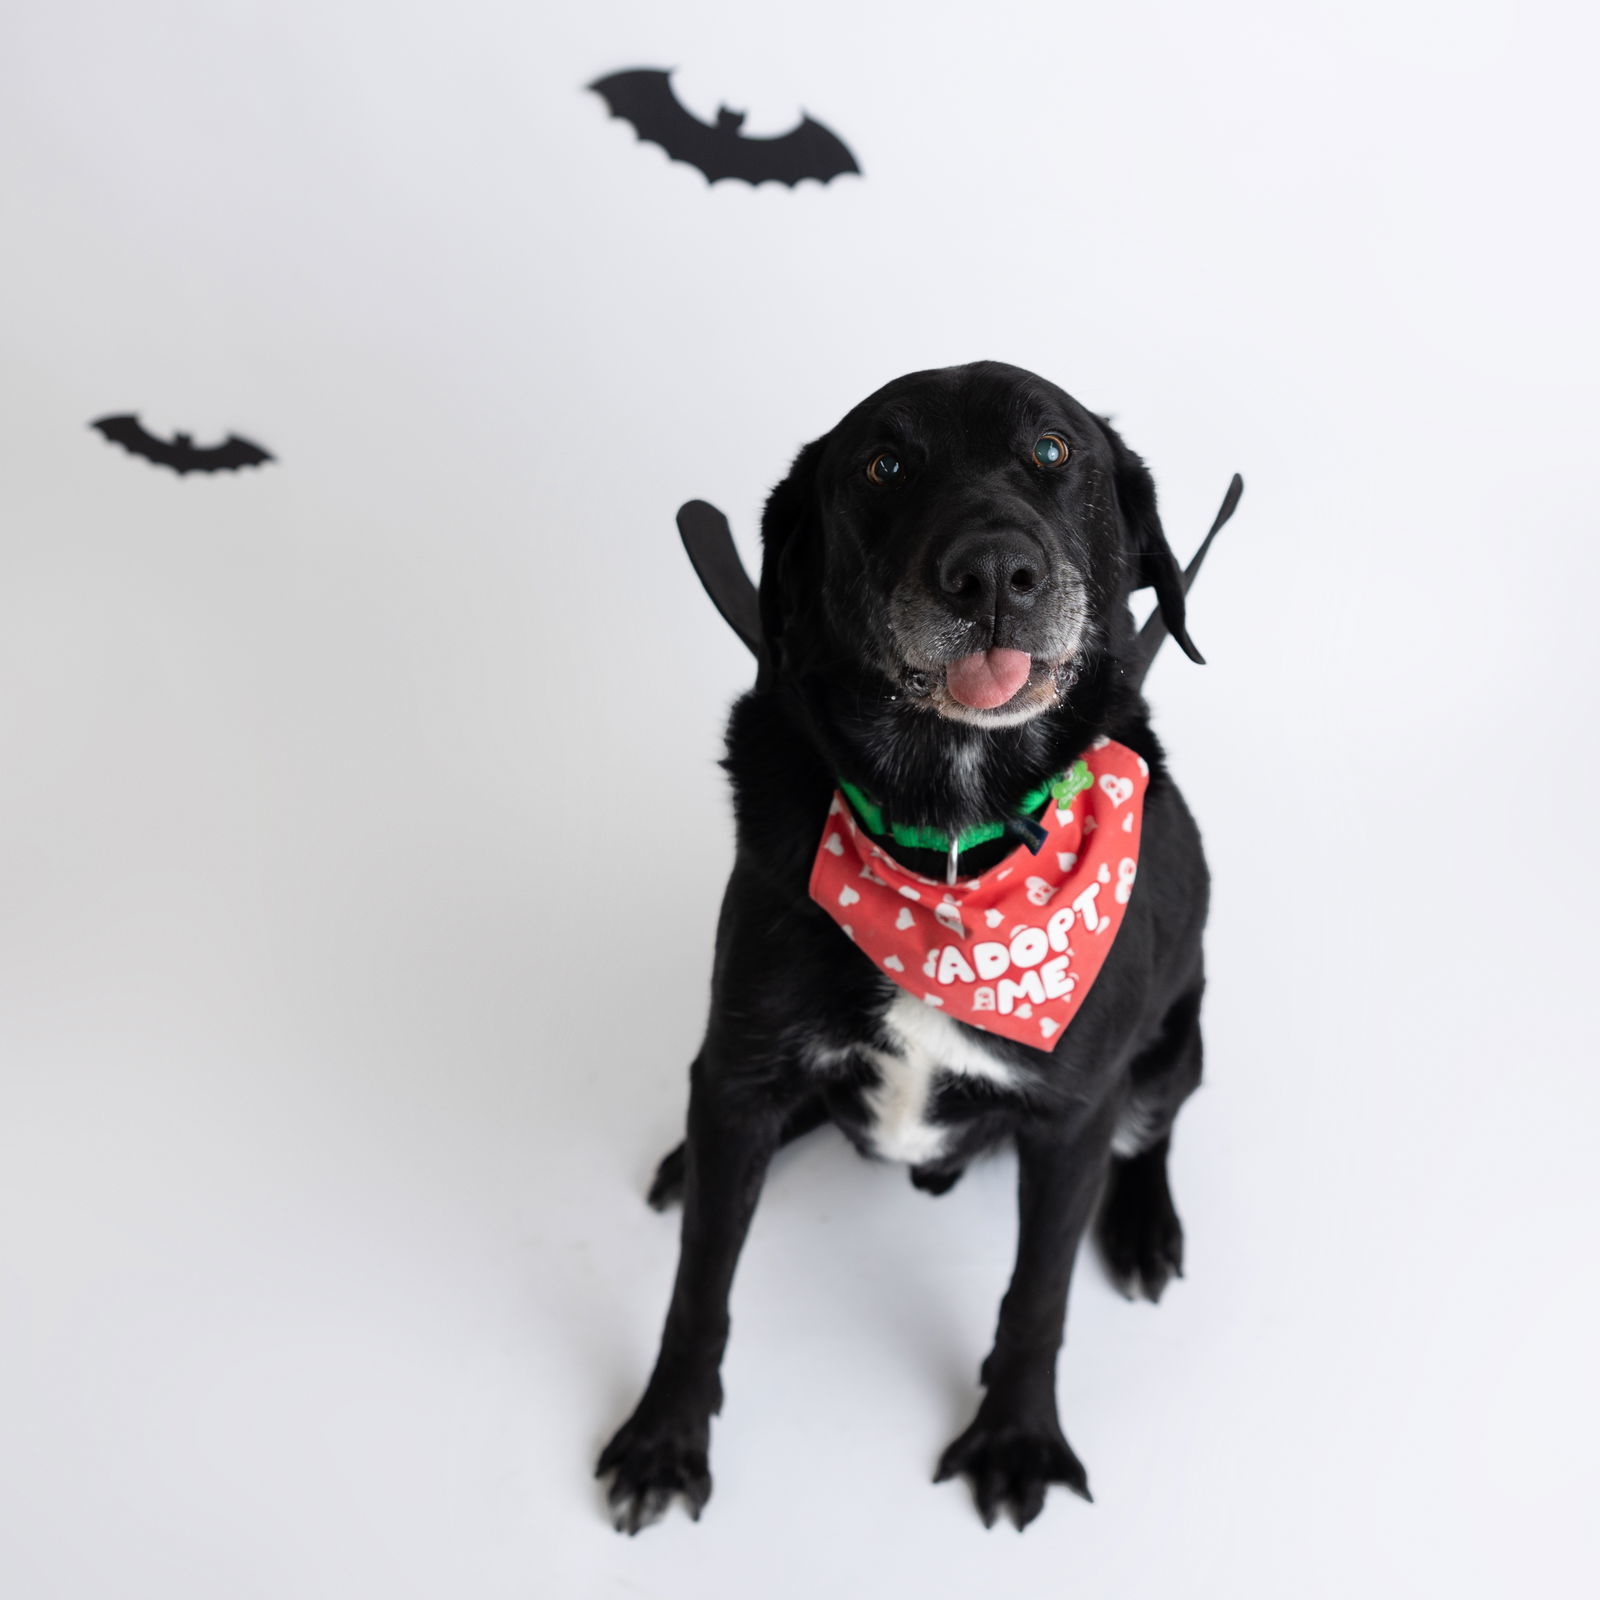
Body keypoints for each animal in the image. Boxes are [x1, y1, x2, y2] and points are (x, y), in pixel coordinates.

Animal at [601, 363, 1222, 1536]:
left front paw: (1017, 1439)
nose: (992, 574)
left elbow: (1038, 1295)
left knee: (1155, 1128)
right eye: (884, 465)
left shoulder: (1075, 1114)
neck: (950, 848)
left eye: (1054, 452)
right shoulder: (741, 1063)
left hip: (1175, 1038)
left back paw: (1146, 1228)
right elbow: (700, 1283)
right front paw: (665, 1434)